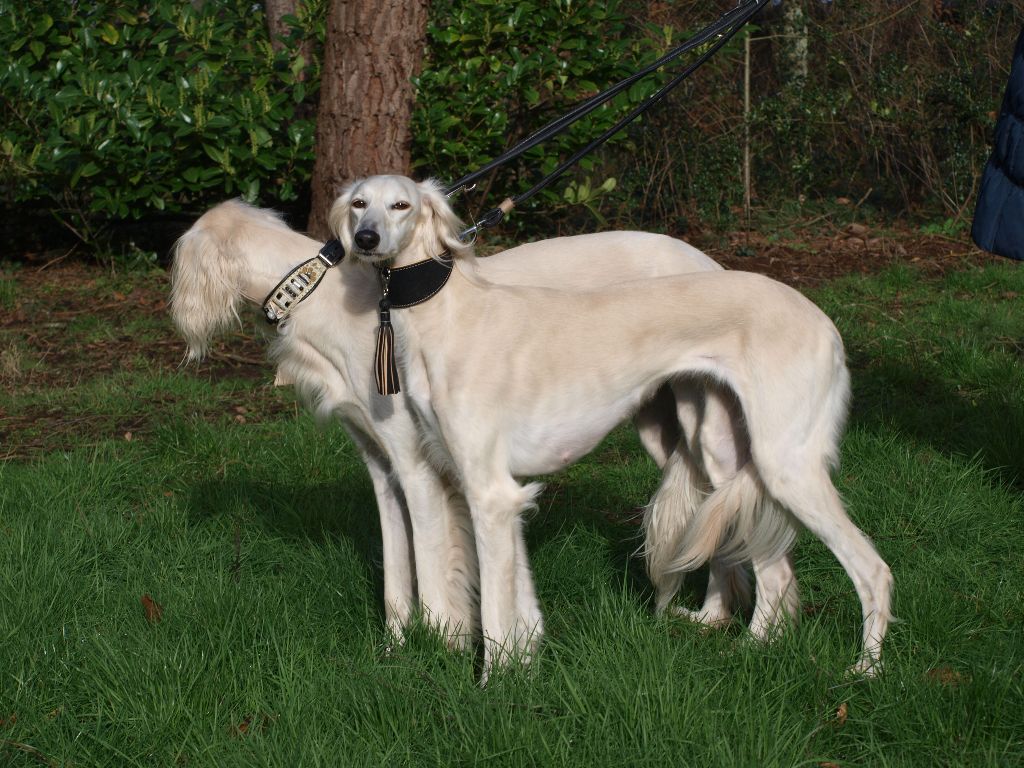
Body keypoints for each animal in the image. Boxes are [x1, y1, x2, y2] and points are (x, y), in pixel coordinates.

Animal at [169, 198, 798, 651]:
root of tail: (709, 262)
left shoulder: (420, 467)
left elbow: (432, 567)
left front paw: (444, 644)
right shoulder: (381, 466)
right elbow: (396, 576)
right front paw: (395, 649)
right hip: (673, 428)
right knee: (720, 516)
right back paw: (715, 616)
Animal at [329, 174, 897, 679]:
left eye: (401, 204)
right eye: (359, 203)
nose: (367, 239)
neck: (448, 314)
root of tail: (824, 323)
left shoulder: (488, 493)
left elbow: (493, 612)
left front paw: (493, 686)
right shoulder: (504, 495)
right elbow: (521, 607)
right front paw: (526, 665)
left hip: (786, 463)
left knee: (873, 569)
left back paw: (866, 670)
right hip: (722, 450)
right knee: (775, 573)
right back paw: (751, 649)